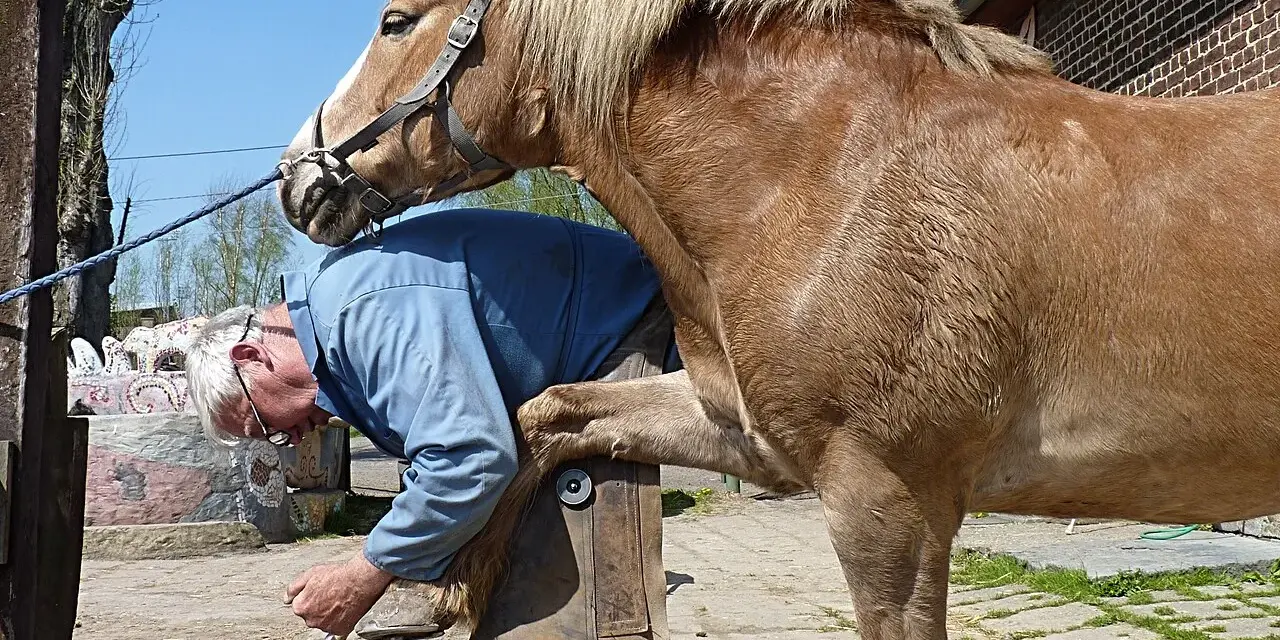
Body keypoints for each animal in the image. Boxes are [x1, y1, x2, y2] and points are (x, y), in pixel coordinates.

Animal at [275, 1, 1280, 638]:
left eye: (396, 22)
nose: (297, 178)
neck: (827, 171)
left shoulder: (887, 500)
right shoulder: (748, 434)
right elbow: (545, 416)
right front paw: (450, 588)